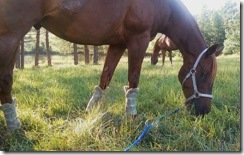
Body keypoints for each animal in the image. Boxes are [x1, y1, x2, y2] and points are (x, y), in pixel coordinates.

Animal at [0, 0, 224, 131]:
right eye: (203, 74)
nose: (204, 111)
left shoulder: (118, 43)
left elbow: (105, 75)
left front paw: (92, 110)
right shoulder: (138, 40)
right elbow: (133, 79)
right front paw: (131, 116)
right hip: (11, 35)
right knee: (6, 80)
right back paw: (13, 125)